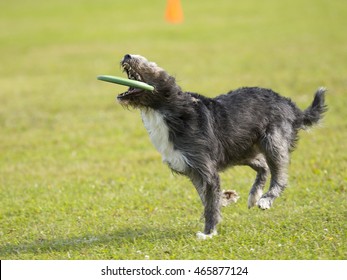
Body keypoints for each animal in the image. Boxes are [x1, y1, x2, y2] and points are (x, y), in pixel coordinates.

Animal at [117, 53, 328, 240]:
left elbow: (210, 203)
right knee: (263, 166)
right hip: (241, 150)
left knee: (280, 176)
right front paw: (225, 199)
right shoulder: (194, 170)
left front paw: (209, 233)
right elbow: (206, 197)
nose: (127, 55)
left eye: (150, 64)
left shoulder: (206, 168)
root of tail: (289, 105)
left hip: (273, 142)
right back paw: (254, 195)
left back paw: (266, 199)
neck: (168, 109)